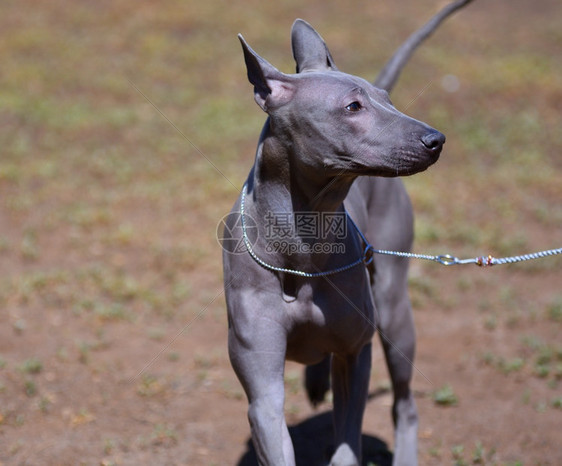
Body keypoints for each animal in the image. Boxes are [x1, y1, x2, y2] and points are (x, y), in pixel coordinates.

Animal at [221, 1, 470, 464]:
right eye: (353, 107)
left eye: (386, 100)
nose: (436, 140)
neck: (301, 243)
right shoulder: (263, 392)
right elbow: (272, 421)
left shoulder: (357, 354)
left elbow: (348, 440)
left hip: (393, 310)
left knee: (404, 402)